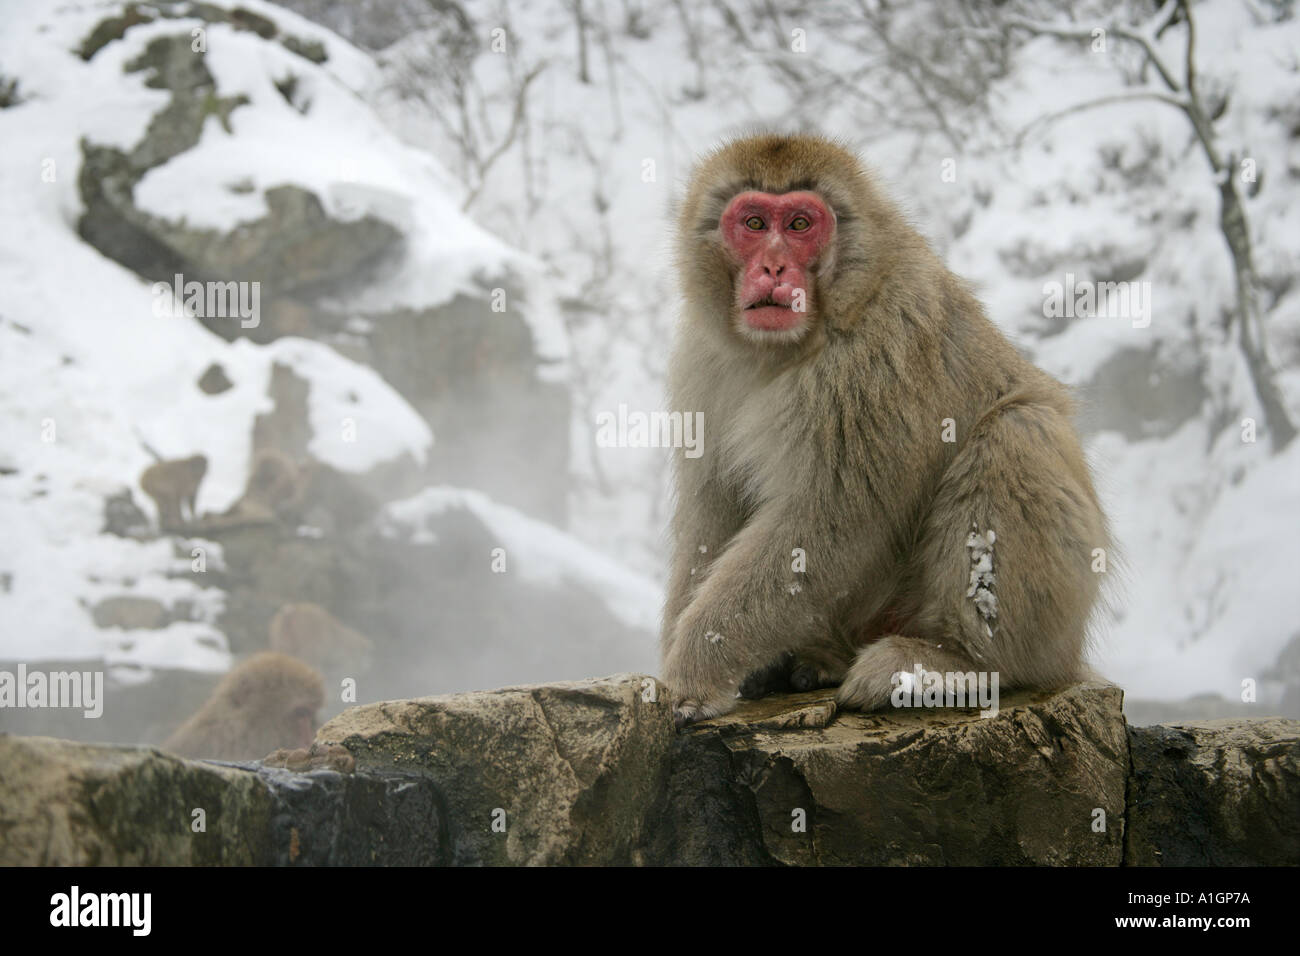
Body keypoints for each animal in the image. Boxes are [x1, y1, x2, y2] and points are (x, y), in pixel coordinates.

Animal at [660, 133, 1109, 726]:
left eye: (800, 224)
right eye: (754, 223)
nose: (774, 268)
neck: (785, 349)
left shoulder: (874, 355)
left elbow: (831, 519)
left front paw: (693, 670)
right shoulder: (702, 359)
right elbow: (713, 505)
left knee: (1017, 431)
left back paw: (957, 663)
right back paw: (817, 658)